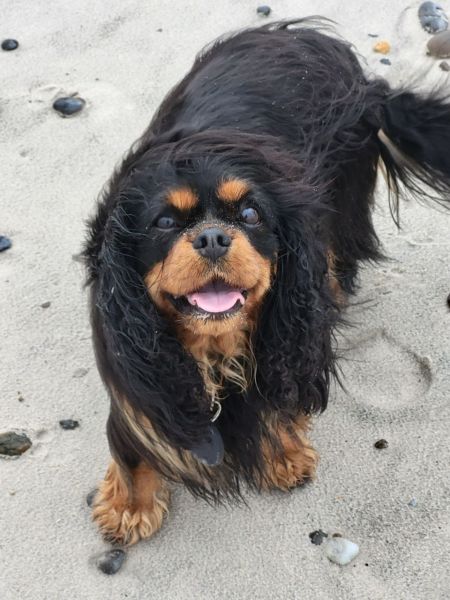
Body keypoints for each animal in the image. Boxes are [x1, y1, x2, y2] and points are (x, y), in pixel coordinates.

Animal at [83, 19, 450, 545]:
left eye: (251, 215)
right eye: (164, 223)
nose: (213, 237)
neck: (213, 350)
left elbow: (277, 390)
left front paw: (283, 453)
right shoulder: (137, 370)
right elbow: (133, 442)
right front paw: (130, 507)